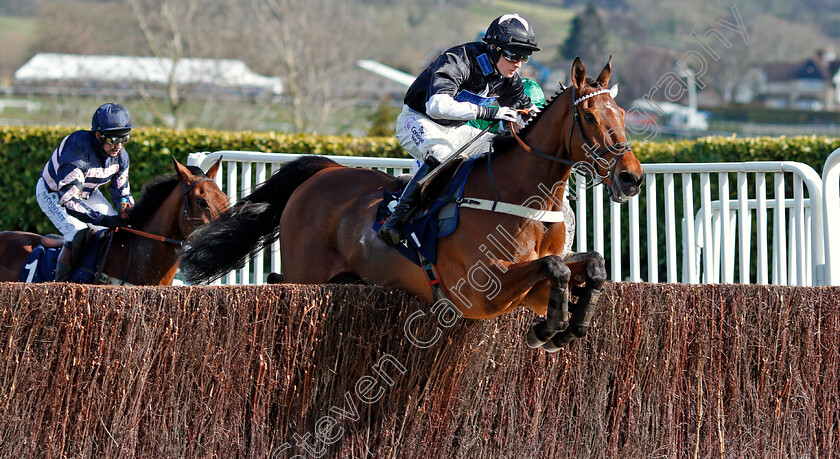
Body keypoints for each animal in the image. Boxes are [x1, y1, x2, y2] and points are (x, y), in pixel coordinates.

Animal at [182, 58, 644, 352]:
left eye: (622, 113)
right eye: (589, 117)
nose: (631, 177)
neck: (524, 198)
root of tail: (327, 169)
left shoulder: (524, 290)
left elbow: (590, 266)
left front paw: (568, 324)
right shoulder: (482, 292)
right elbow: (555, 268)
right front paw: (552, 328)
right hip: (306, 273)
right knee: (280, 282)